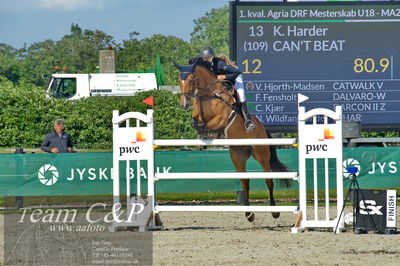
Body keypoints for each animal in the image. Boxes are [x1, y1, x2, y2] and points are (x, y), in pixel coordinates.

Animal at [174, 61, 290, 221]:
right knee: (244, 181)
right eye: (179, 80)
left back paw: (274, 212)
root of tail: (262, 127)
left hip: (261, 154)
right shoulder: (197, 115)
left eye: (191, 80)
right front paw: (203, 131)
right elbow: (195, 121)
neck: (207, 94)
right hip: (238, 155)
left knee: (268, 180)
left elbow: (209, 124)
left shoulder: (222, 118)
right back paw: (249, 214)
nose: (184, 104)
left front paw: (210, 132)